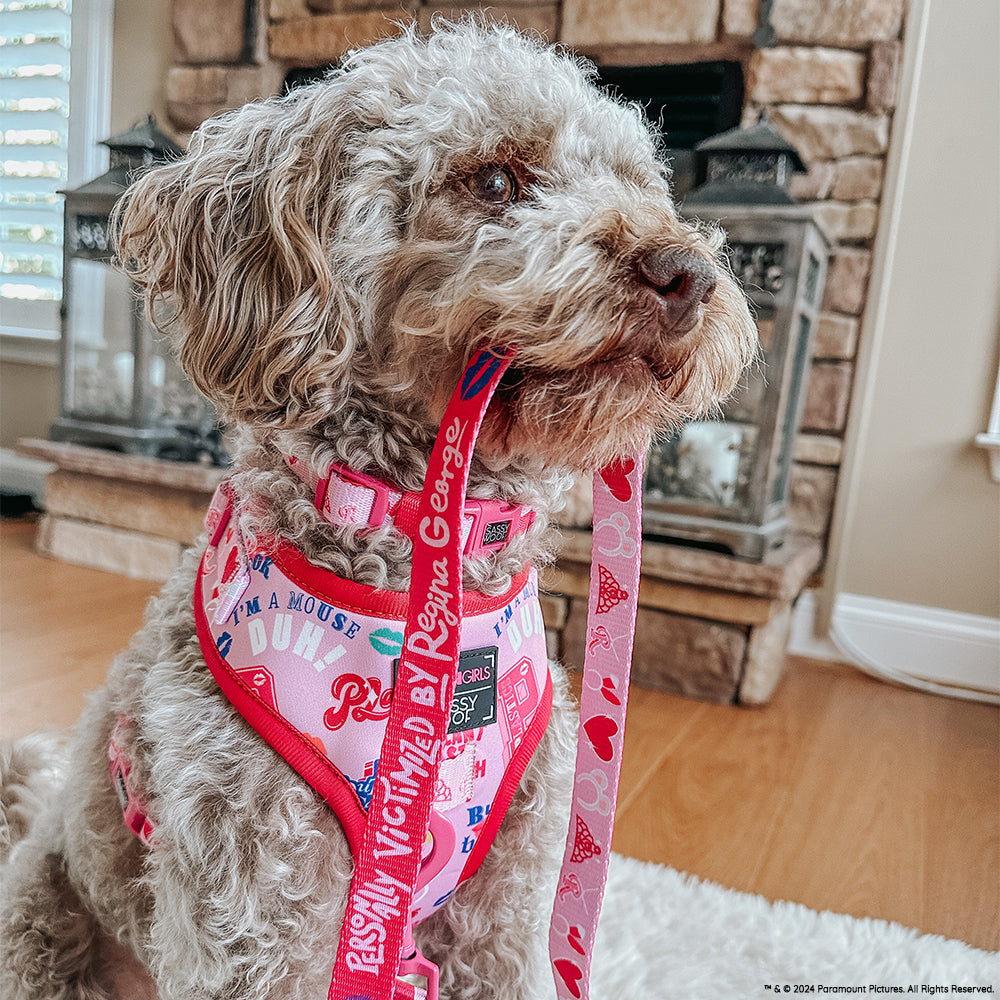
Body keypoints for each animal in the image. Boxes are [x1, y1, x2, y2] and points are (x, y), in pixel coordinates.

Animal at [0, 17, 752, 1000]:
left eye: (639, 183)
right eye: (496, 180)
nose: (688, 271)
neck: (419, 573)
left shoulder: (504, 911)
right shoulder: (256, 907)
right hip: (45, 921)